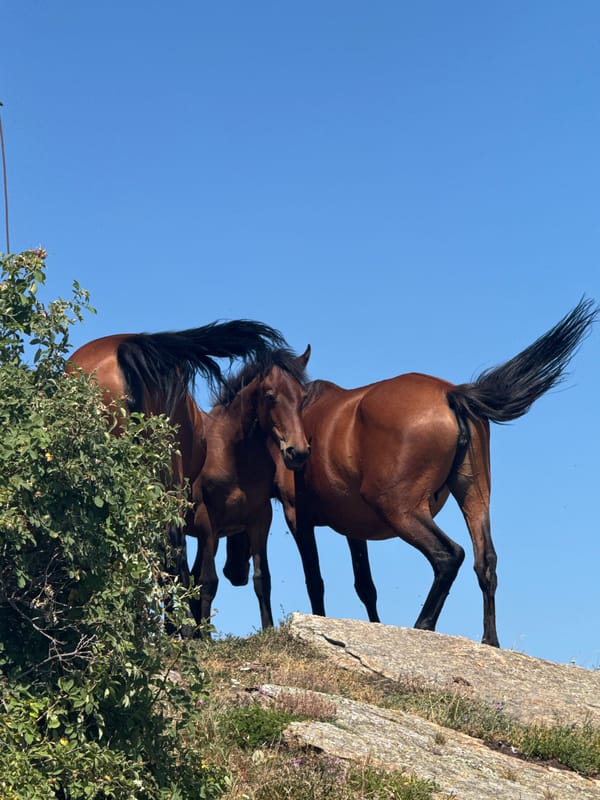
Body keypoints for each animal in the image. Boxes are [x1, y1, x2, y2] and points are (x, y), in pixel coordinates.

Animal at [188, 347, 311, 630]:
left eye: (303, 397)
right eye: (270, 395)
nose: (297, 452)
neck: (233, 453)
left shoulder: (260, 519)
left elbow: (262, 579)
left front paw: (268, 629)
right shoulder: (206, 520)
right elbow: (208, 582)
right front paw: (206, 636)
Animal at [270, 298, 597, 648]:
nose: (296, 451)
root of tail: (451, 394)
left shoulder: (298, 516)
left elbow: (315, 579)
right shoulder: (352, 525)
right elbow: (365, 585)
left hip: (401, 509)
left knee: (449, 555)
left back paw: (423, 624)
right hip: (473, 496)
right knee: (486, 561)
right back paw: (490, 640)